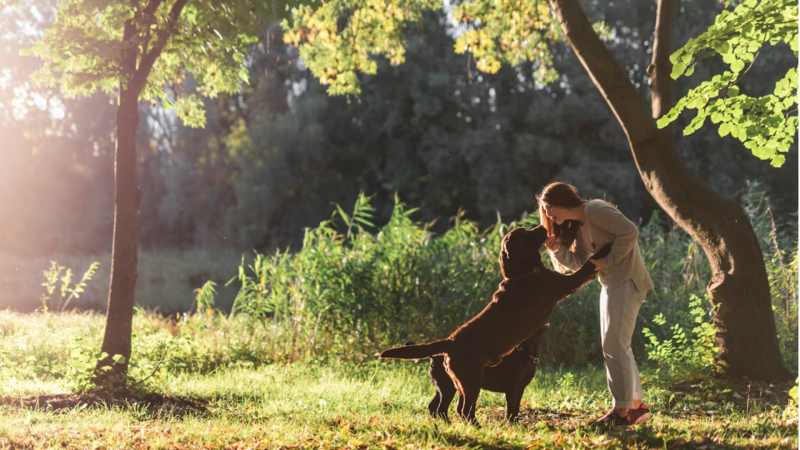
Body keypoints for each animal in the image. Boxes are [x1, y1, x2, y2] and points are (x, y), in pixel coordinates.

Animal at [378, 225, 608, 422]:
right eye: (526, 233)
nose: (543, 226)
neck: (525, 273)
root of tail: (449, 342)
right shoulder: (564, 284)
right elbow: (587, 266)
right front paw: (605, 248)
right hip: (470, 380)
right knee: (462, 409)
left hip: (458, 383)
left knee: (447, 408)